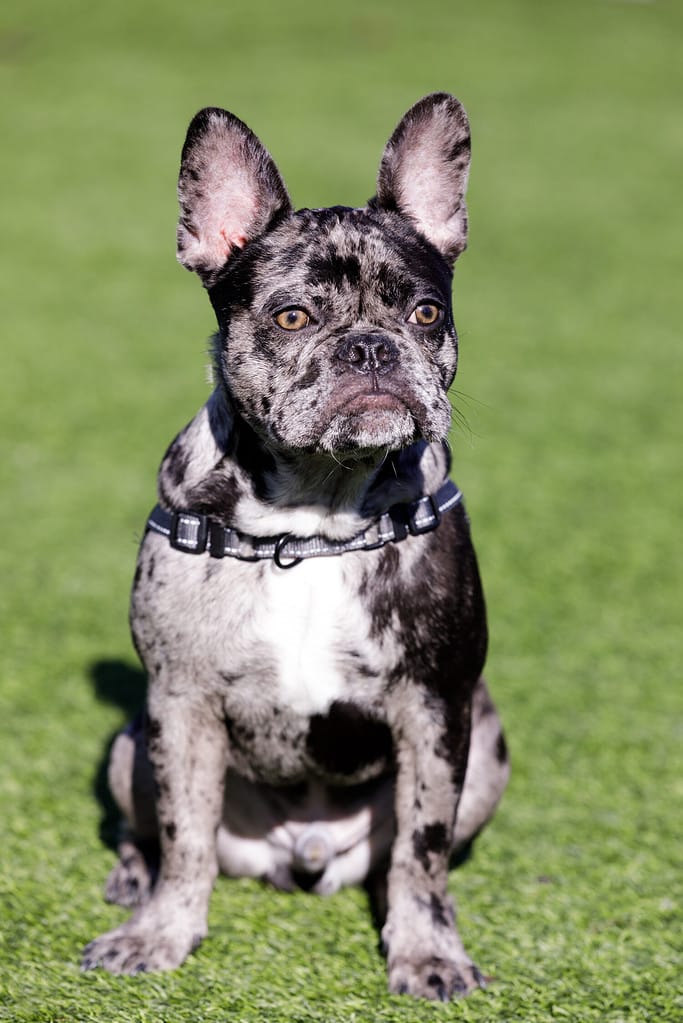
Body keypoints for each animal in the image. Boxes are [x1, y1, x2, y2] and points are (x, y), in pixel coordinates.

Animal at [82, 92, 509, 1002]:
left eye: (425, 313)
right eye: (292, 317)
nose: (371, 346)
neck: (312, 520)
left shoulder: (435, 707)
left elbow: (422, 846)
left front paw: (426, 949)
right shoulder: (180, 703)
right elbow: (185, 836)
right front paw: (161, 933)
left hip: (485, 737)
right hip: (131, 741)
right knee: (153, 834)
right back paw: (133, 882)